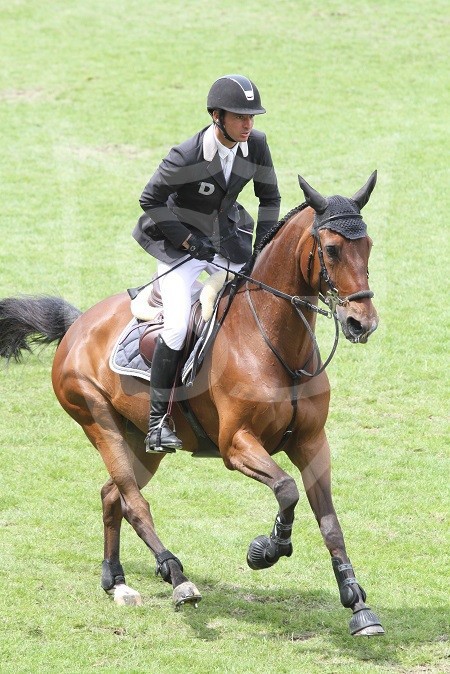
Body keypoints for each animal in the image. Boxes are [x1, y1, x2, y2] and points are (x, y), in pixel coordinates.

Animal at [0, 171, 386, 632]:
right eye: (331, 249)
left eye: (368, 246)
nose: (362, 323)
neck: (275, 345)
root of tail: (78, 324)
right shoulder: (237, 444)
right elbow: (286, 489)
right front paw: (266, 549)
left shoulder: (312, 443)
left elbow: (329, 523)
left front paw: (357, 604)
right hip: (98, 420)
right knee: (134, 502)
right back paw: (177, 577)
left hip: (142, 443)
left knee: (112, 494)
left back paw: (117, 582)